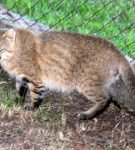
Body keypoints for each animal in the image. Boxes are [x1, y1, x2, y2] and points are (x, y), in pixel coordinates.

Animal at [0, 28, 134, 119]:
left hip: (86, 85)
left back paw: (87, 115)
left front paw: (32, 108)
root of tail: (116, 50)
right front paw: (17, 102)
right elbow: (20, 92)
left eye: (1, 49)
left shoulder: (36, 80)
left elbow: (36, 96)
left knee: (105, 99)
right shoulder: (21, 78)